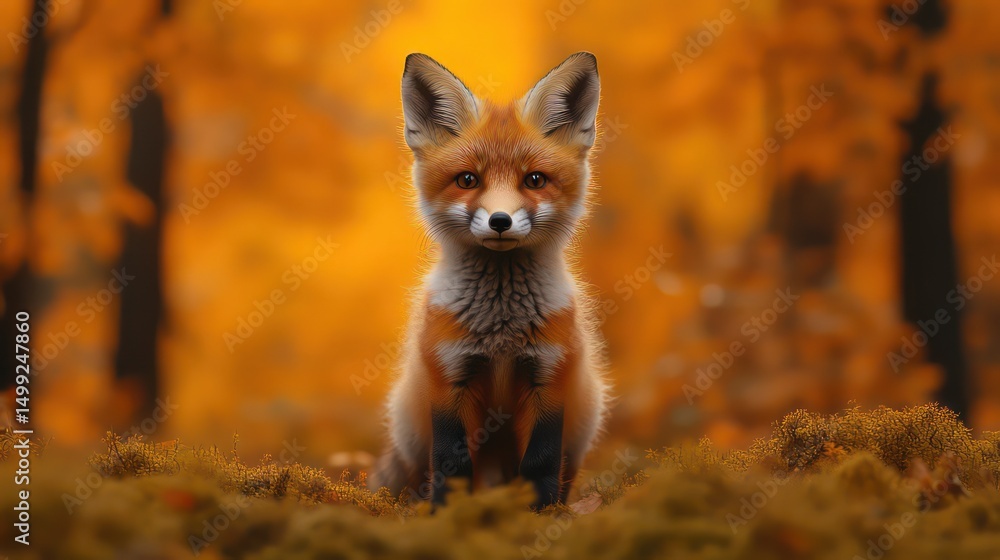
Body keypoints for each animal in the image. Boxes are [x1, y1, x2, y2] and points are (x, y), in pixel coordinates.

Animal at [371, 52, 610, 509]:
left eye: (534, 180)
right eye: (468, 179)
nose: (501, 220)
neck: (501, 332)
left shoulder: (549, 378)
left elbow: (540, 462)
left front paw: (540, 513)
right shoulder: (449, 377)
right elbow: (452, 463)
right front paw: (449, 514)